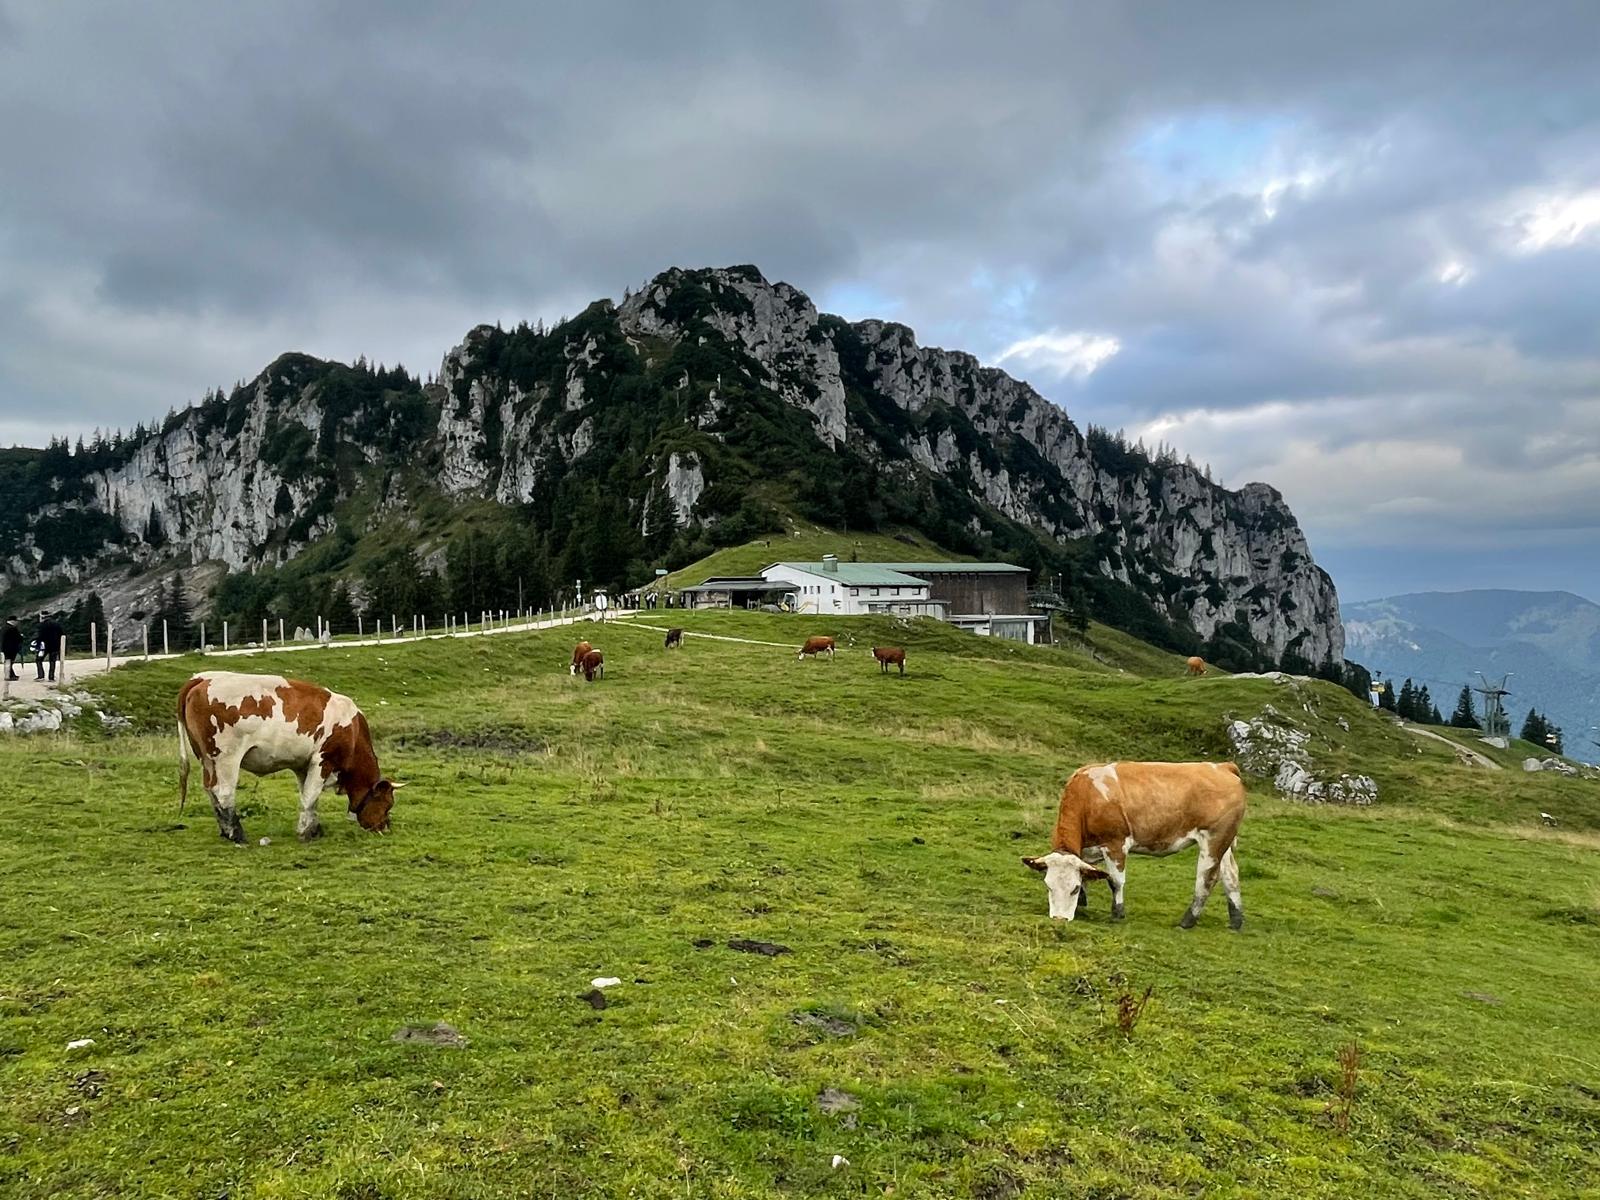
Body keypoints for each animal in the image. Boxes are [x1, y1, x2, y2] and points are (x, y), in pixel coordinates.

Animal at [177, 672, 401, 845]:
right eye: (387, 804)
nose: (385, 828)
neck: (352, 731)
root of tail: (203, 678)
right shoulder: (323, 760)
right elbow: (310, 796)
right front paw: (305, 833)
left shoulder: (304, 765)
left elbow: (309, 797)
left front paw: (314, 828)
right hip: (227, 758)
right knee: (223, 792)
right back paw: (237, 834)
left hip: (207, 760)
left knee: (210, 789)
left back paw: (225, 831)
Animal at [1022, 761, 1246, 929]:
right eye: (1048, 886)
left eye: (1074, 889)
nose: (1059, 919)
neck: (1087, 795)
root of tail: (1222, 766)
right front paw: (1083, 904)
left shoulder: (1115, 843)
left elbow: (1115, 880)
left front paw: (1117, 913)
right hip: (1225, 842)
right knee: (1231, 874)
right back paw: (1236, 920)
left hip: (1213, 840)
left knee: (1207, 878)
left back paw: (1187, 921)